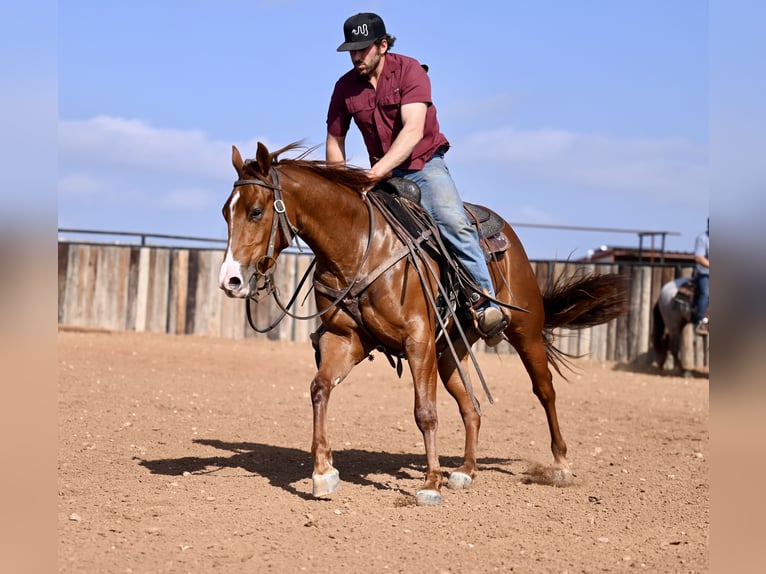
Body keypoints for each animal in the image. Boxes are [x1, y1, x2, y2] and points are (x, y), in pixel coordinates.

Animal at [219, 142, 628, 506]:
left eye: (256, 211)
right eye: (226, 213)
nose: (230, 280)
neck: (361, 245)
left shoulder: (417, 341)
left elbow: (425, 413)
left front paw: (431, 484)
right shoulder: (345, 340)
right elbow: (319, 388)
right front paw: (323, 473)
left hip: (523, 332)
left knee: (545, 391)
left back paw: (560, 464)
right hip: (450, 353)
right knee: (471, 406)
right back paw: (466, 470)